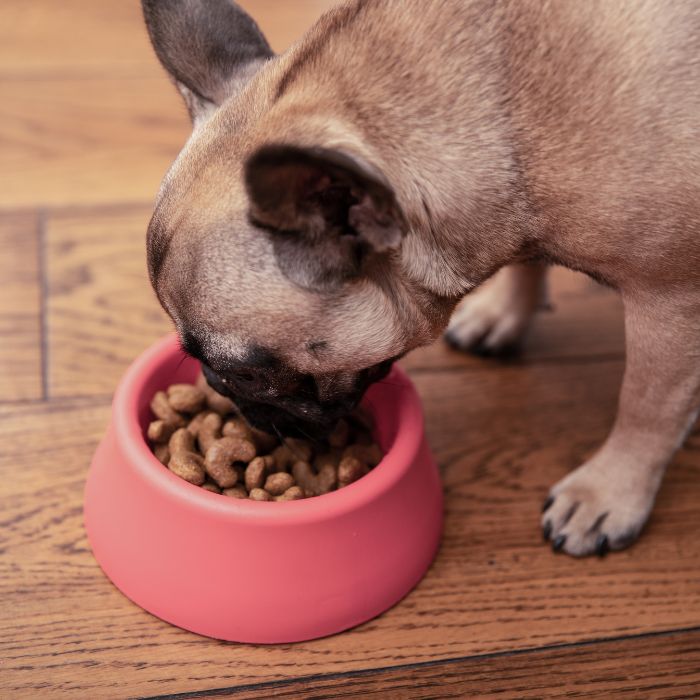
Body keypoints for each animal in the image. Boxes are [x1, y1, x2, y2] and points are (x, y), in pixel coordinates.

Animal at [139, 0, 696, 556]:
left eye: (246, 373)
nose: (214, 382)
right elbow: (526, 262)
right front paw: (503, 313)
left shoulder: (669, 300)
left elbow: (646, 406)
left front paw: (605, 492)